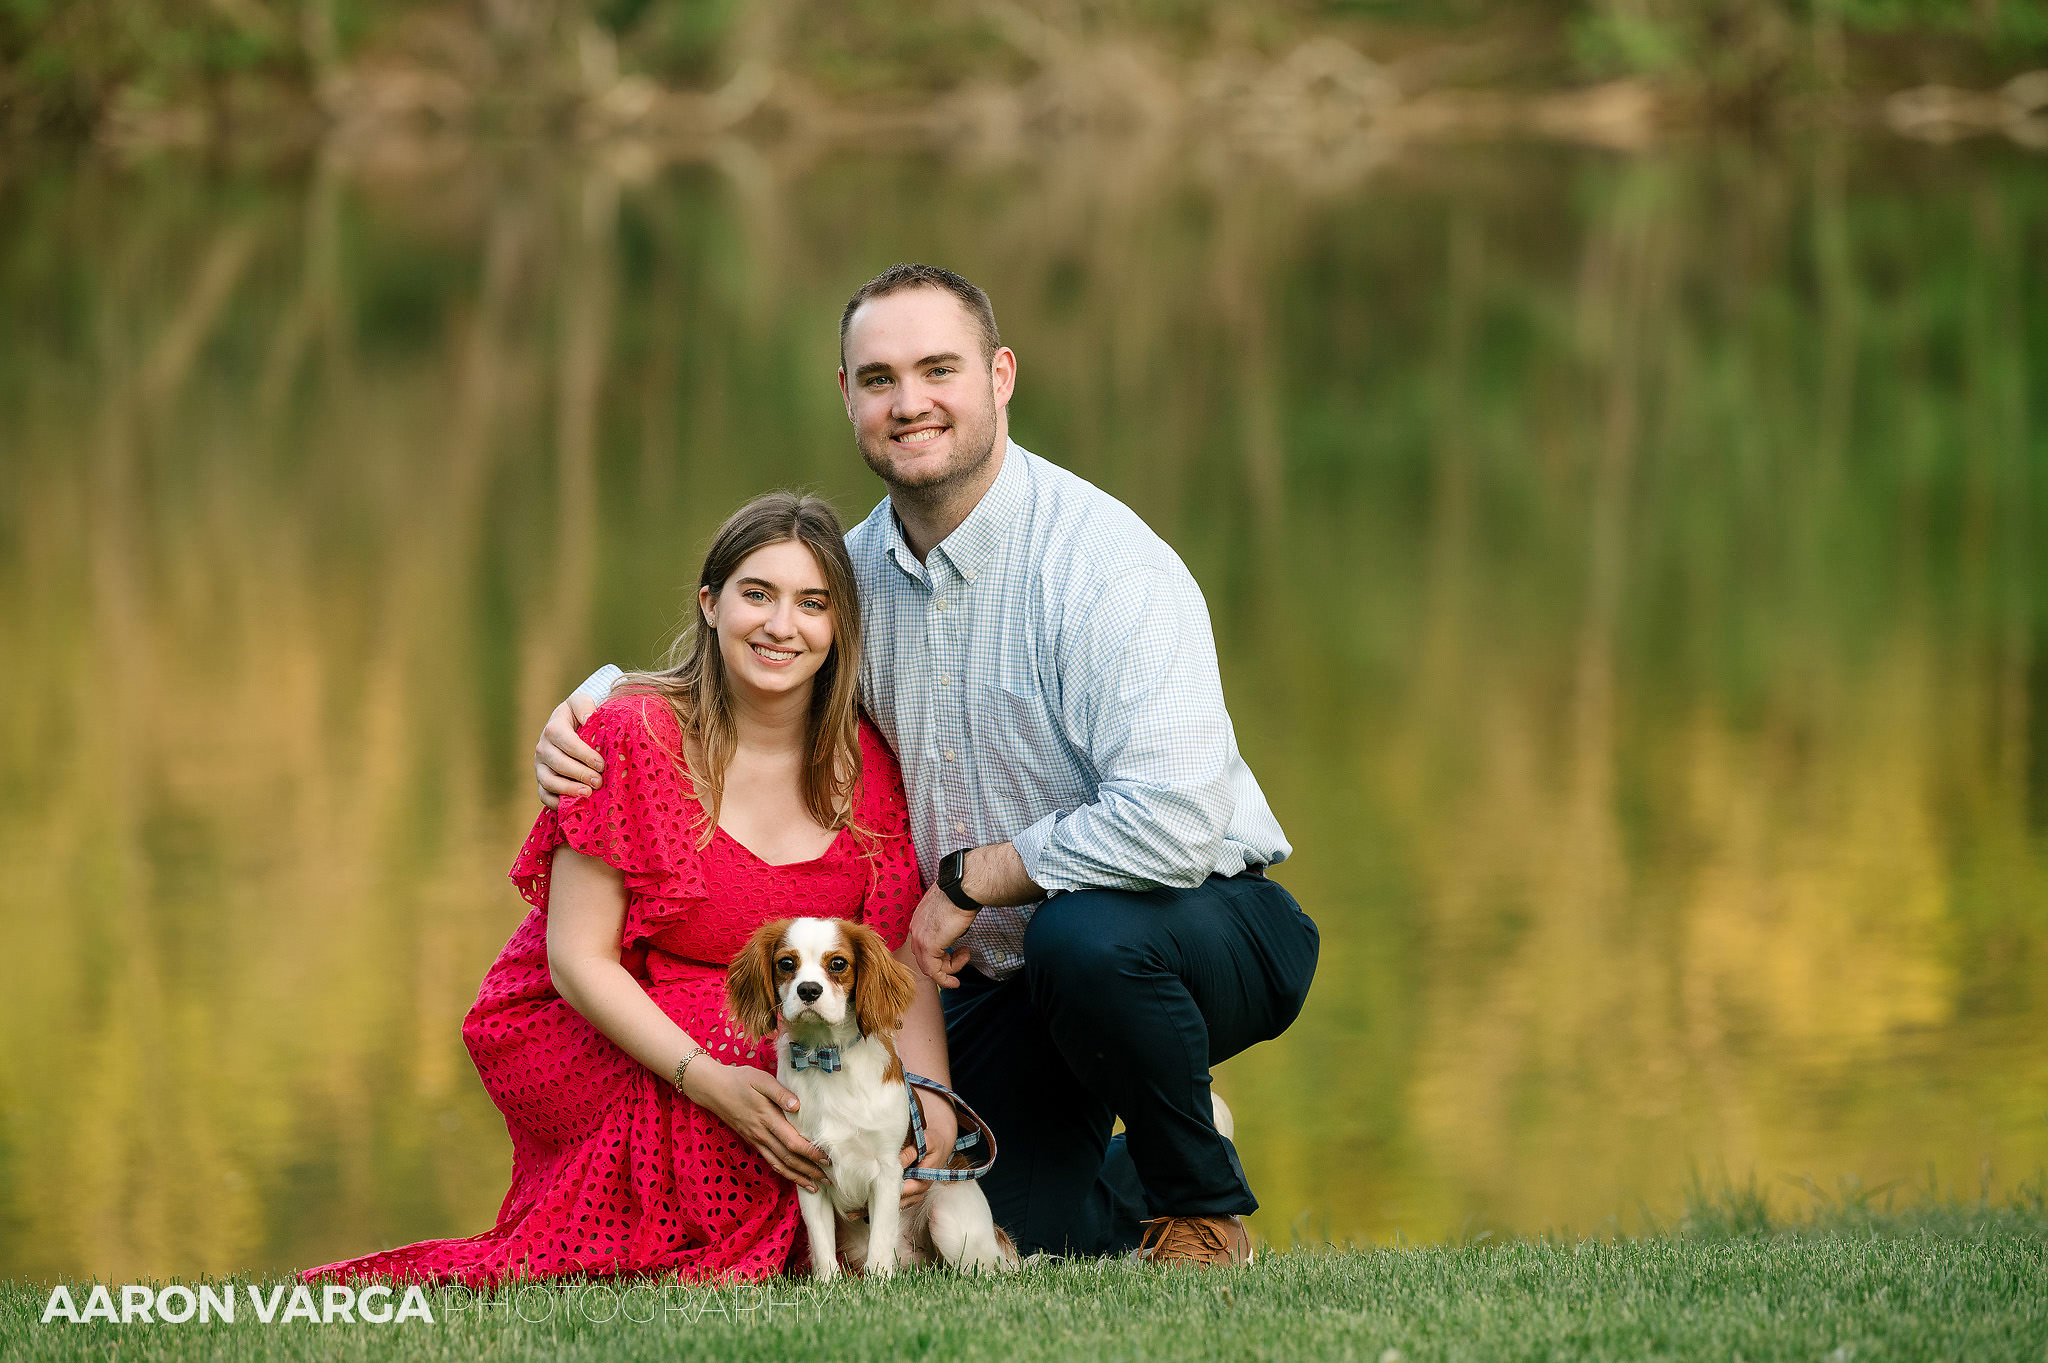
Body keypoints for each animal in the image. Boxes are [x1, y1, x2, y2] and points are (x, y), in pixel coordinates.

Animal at [724, 912, 1019, 1277]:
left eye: (838, 963)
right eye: (786, 963)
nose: (808, 989)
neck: (826, 1059)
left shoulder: (888, 1171)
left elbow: (880, 1241)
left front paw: (879, 1283)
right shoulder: (809, 1172)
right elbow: (822, 1243)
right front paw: (828, 1283)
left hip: (950, 1222)